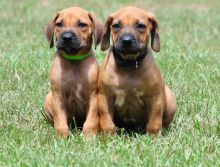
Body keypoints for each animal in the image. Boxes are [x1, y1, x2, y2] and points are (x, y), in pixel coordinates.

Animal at [44, 6, 104, 137]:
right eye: (59, 24)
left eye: (82, 24)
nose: (66, 37)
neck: (74, 60)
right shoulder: (58, 96)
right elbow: (60, 118)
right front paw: (62, 136)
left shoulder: (93, 96)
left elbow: (91, 119)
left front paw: (89, 136)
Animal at [97, 6, 176, 134]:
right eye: (116, 26)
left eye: (140, 26)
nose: (126, 41)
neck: (129, 64)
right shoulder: (105, 97)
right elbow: (107, 122)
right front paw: (108, 136)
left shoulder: (155, 98)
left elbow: (154, 123)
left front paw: (153, 137)